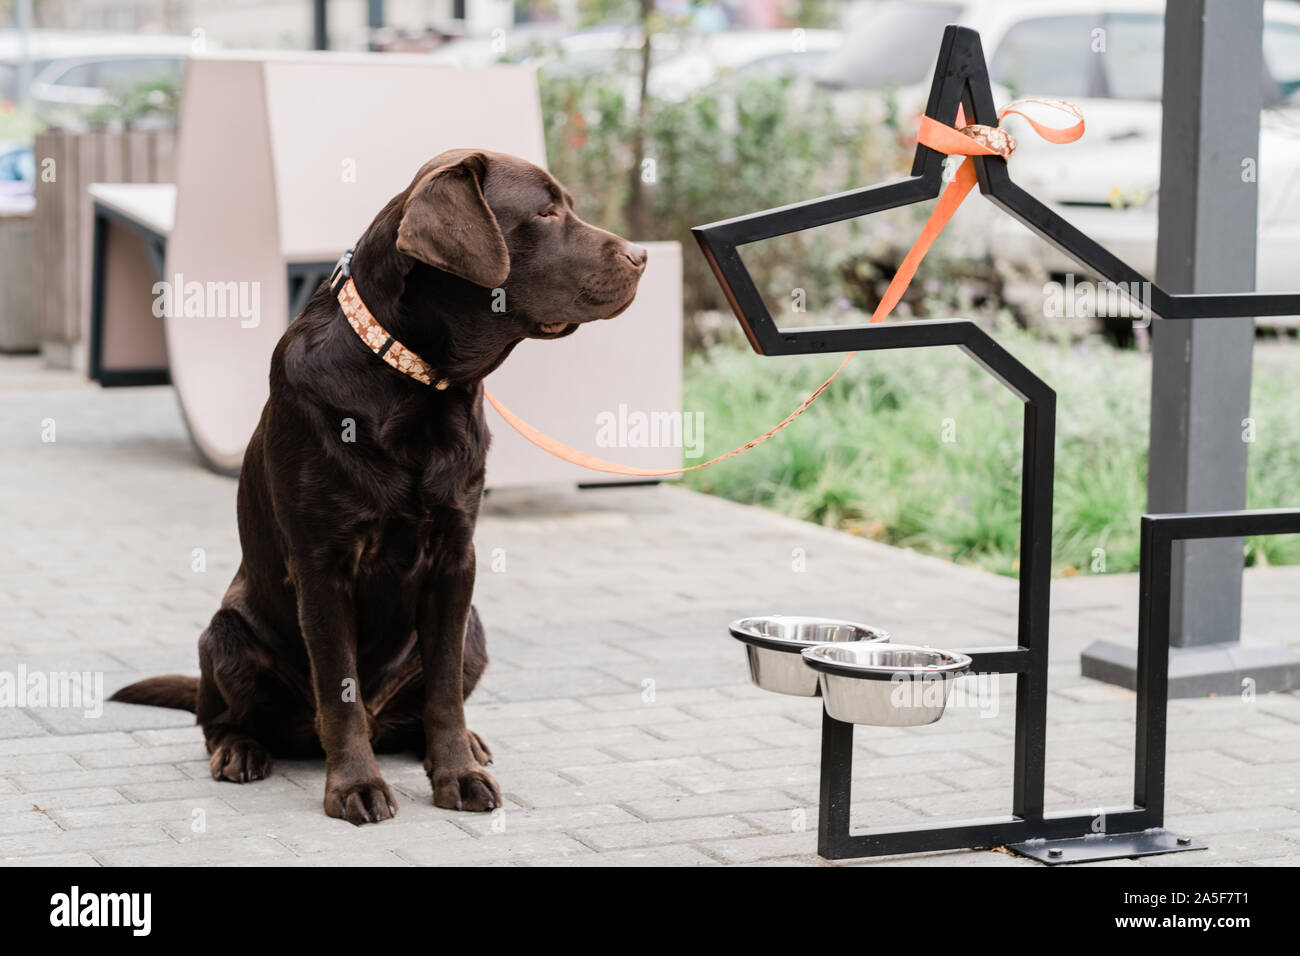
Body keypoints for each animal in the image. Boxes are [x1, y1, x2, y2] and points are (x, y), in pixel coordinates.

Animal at [114, 149, 647, 822]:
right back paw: (240, 750)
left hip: (475, 629)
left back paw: (464, 744)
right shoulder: (322, 564)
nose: (642, 255)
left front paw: (457, 772)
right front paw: (354, 786)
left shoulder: (456, 560)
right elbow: (338, 688)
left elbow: (443, 690)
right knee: (221, 718)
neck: (415, 383)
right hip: (224, 634)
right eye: (547, 212)